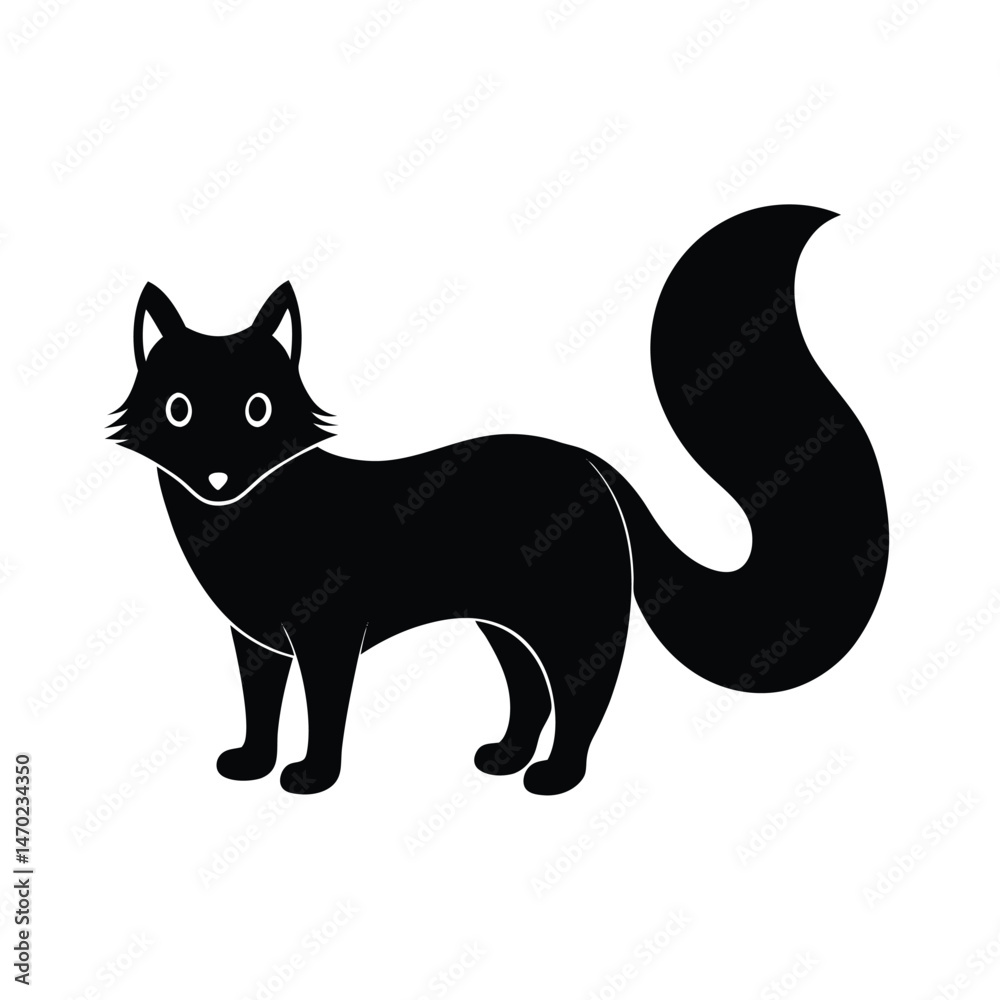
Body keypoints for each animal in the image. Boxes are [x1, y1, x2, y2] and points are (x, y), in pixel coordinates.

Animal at [111, 204, 887, 795]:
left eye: (258, 411)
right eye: (179, 409)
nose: (218, 475)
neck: (240, 524)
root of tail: (593, 463)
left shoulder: (328, 633)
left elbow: (325, 710)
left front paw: (310, 777)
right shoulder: (253, 637)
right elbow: (259, 704)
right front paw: (250, 763)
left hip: (573, 618)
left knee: (581, 697)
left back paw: (555, 777)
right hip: (504, 618)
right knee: (529, 691)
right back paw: (506, 757)